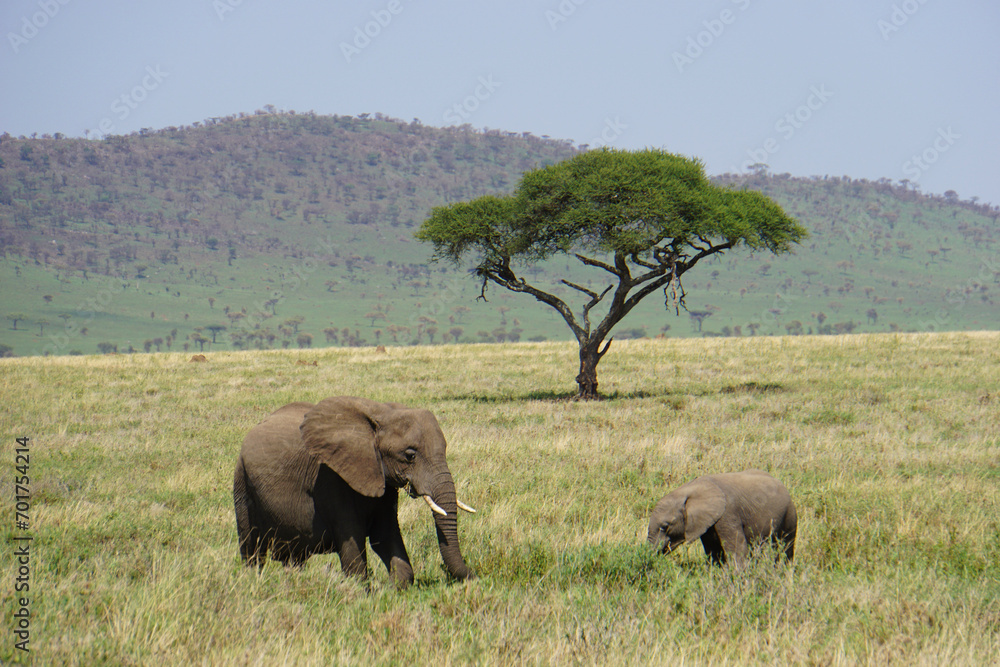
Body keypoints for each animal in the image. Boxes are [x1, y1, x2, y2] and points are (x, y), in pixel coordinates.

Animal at [233, 396, 476, 588]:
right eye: (410, 455)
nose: (474, 575)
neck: (382, 414)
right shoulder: (330, 478)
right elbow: (352, 538)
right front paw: (362, 593)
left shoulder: (382, 481)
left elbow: (384, 534)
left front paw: (391, 588)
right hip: (241, 482)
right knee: (252, 548)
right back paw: (253, 583)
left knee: (294, 558)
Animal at [647, 469, 796, 566]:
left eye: (666, 526)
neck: (689, 489)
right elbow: (713, 550)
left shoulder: (728, 513)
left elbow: (736, 549)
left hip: (789, 514)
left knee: (786, 546)